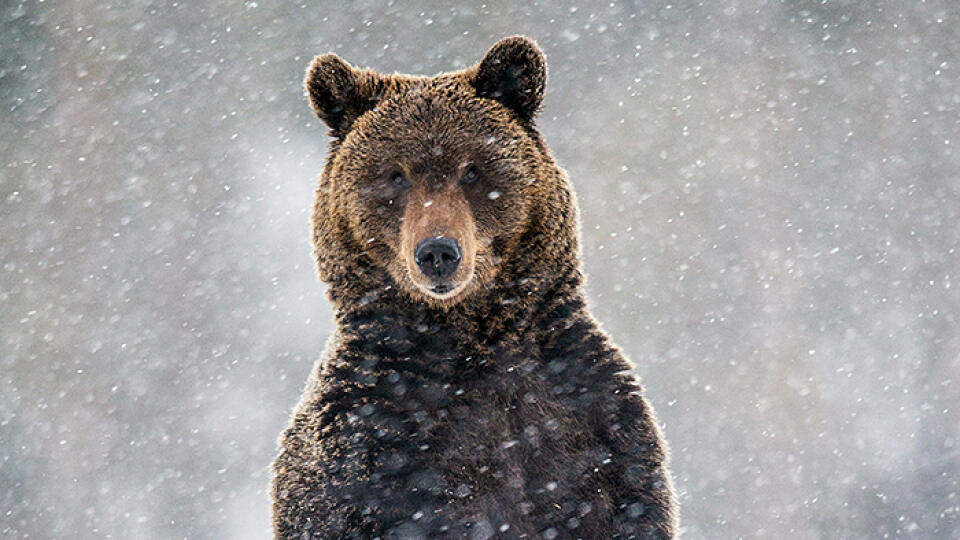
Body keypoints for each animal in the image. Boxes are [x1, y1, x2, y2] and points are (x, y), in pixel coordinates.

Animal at [270, 35, 676, 536]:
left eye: (471, 170)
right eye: (396, 174)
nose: (437, 252)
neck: (473, 338)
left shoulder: (596, 426)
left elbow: (625, 494)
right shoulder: (369, 446)